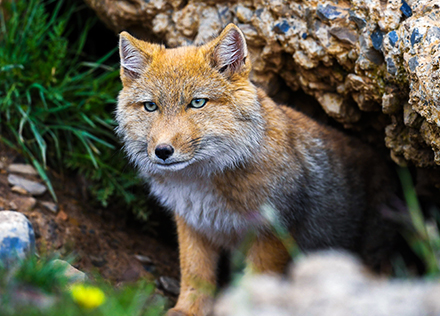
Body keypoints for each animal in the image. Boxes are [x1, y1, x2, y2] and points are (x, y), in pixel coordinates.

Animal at [115, 23, 398, 314]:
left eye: (197, 103)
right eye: (151, 106)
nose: (163, 151)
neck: (200, 184)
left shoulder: (273, 231)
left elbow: (254, 284)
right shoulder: (193, 224)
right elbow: (195, 273)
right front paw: (187, 310)